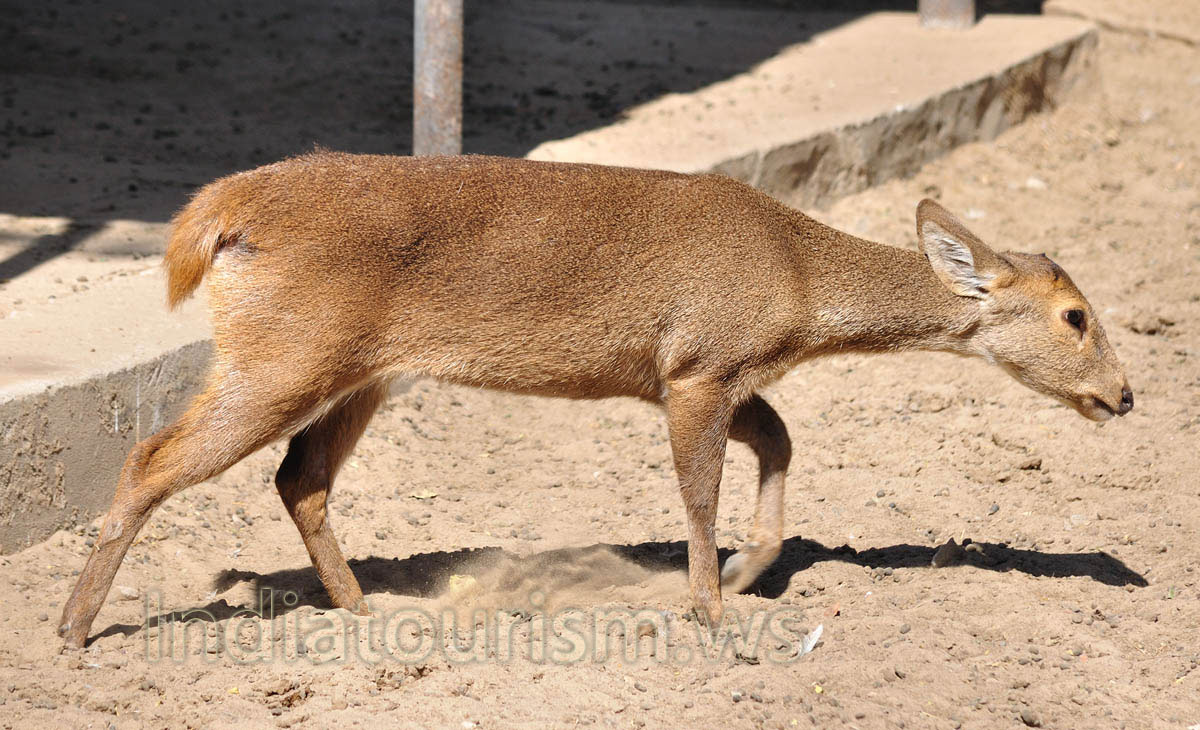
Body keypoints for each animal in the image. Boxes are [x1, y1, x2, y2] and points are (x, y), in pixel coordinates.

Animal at [57, 151, 1132, 648]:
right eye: (1076, 315)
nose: (1125, 394)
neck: (795, 286)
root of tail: (220, 214)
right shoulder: (698, 365)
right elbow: (699, 491)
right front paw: (709, 606)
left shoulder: (710, 373)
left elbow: (781, 447)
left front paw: (744, 572)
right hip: (282, 356)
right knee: (155, 457)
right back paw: (74, 628)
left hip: (354, 369)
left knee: (300, 478)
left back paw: (361, 608)